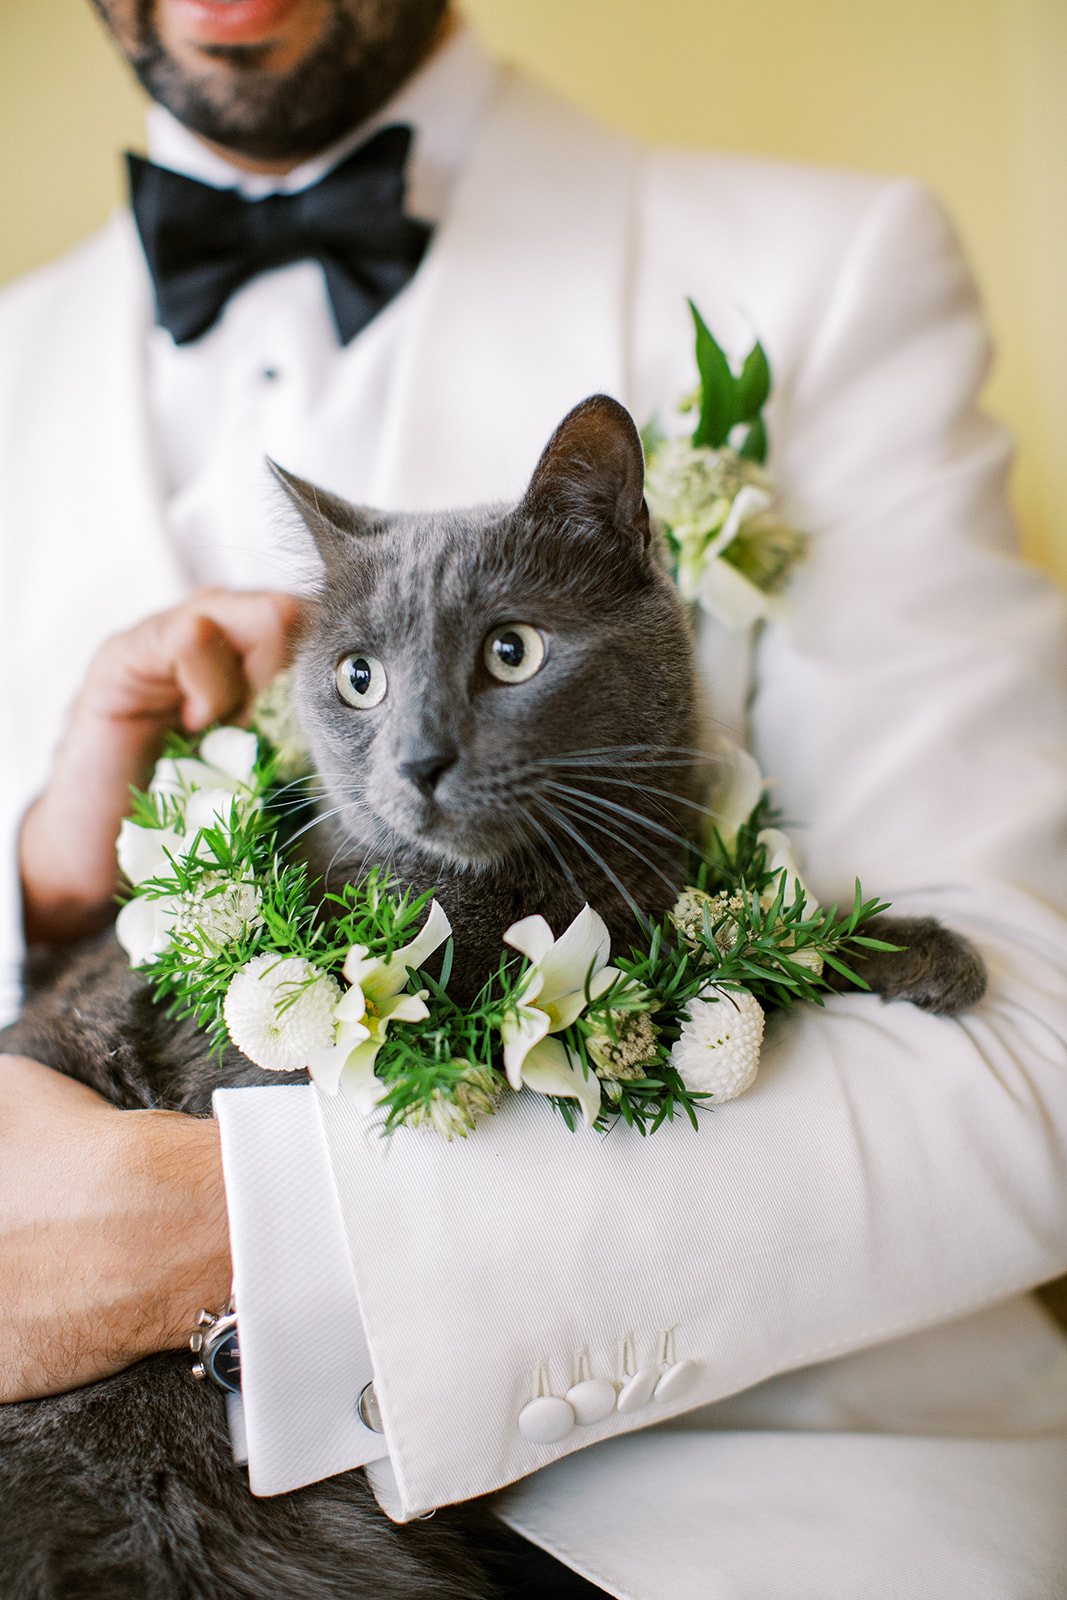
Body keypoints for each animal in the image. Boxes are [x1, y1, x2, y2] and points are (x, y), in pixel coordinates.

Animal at [0, 390, 985, 1600]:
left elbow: (727, 935)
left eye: (512, 652)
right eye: (358, 677)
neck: (537, 884)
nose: (418, 759)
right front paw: (888, 943)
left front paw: (901, 943)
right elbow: (706, 959)